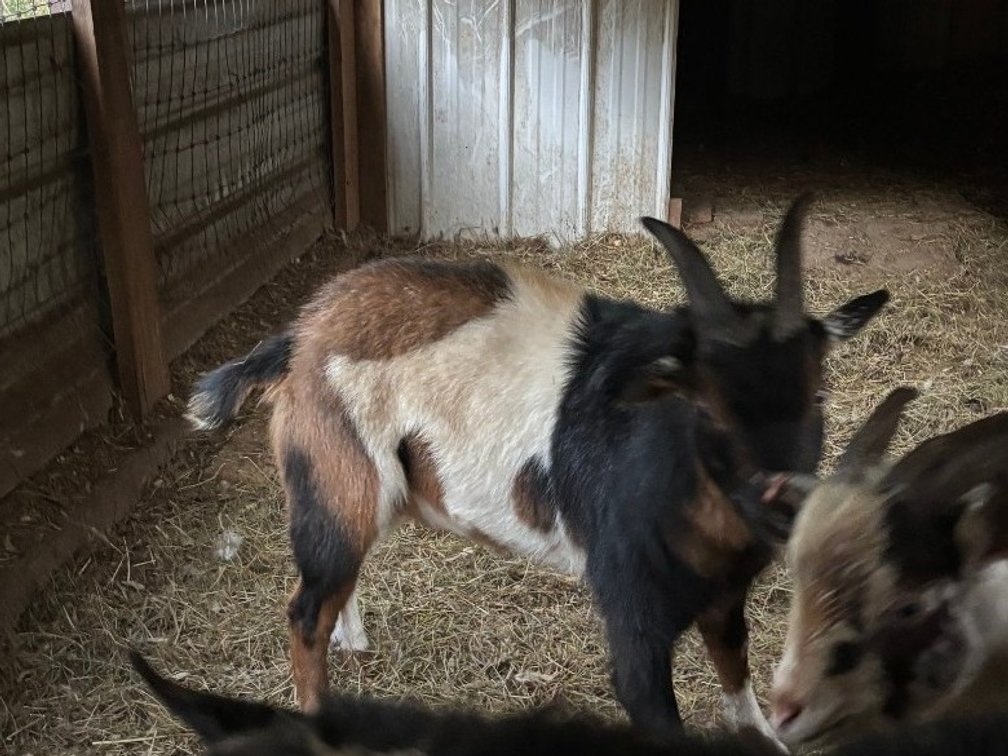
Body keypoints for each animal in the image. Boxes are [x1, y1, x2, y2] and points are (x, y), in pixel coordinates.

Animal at [186, 195, 888, 744]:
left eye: (818, 392)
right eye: (705, 407)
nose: (786, 502)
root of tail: (299, 337)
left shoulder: (724, 595)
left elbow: (738, 675)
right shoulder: (633, 618)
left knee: (331, 583)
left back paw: (352, 640)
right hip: (338, 475)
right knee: (306, 610)